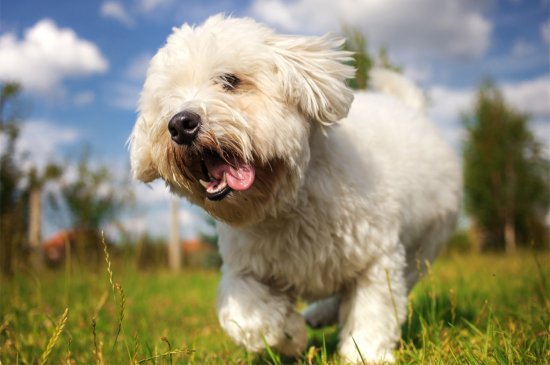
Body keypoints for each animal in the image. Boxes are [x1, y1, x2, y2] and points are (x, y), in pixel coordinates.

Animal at [129, 13, 462, 362]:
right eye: (167, 102)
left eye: (230, 80)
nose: (180, 124)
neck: (287, 203)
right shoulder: (243, 268)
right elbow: (248, 317)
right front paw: (290, 334)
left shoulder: (378, 257)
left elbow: (373, 310)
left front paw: (365, 354)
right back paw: (317, 314)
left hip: (422, 249)